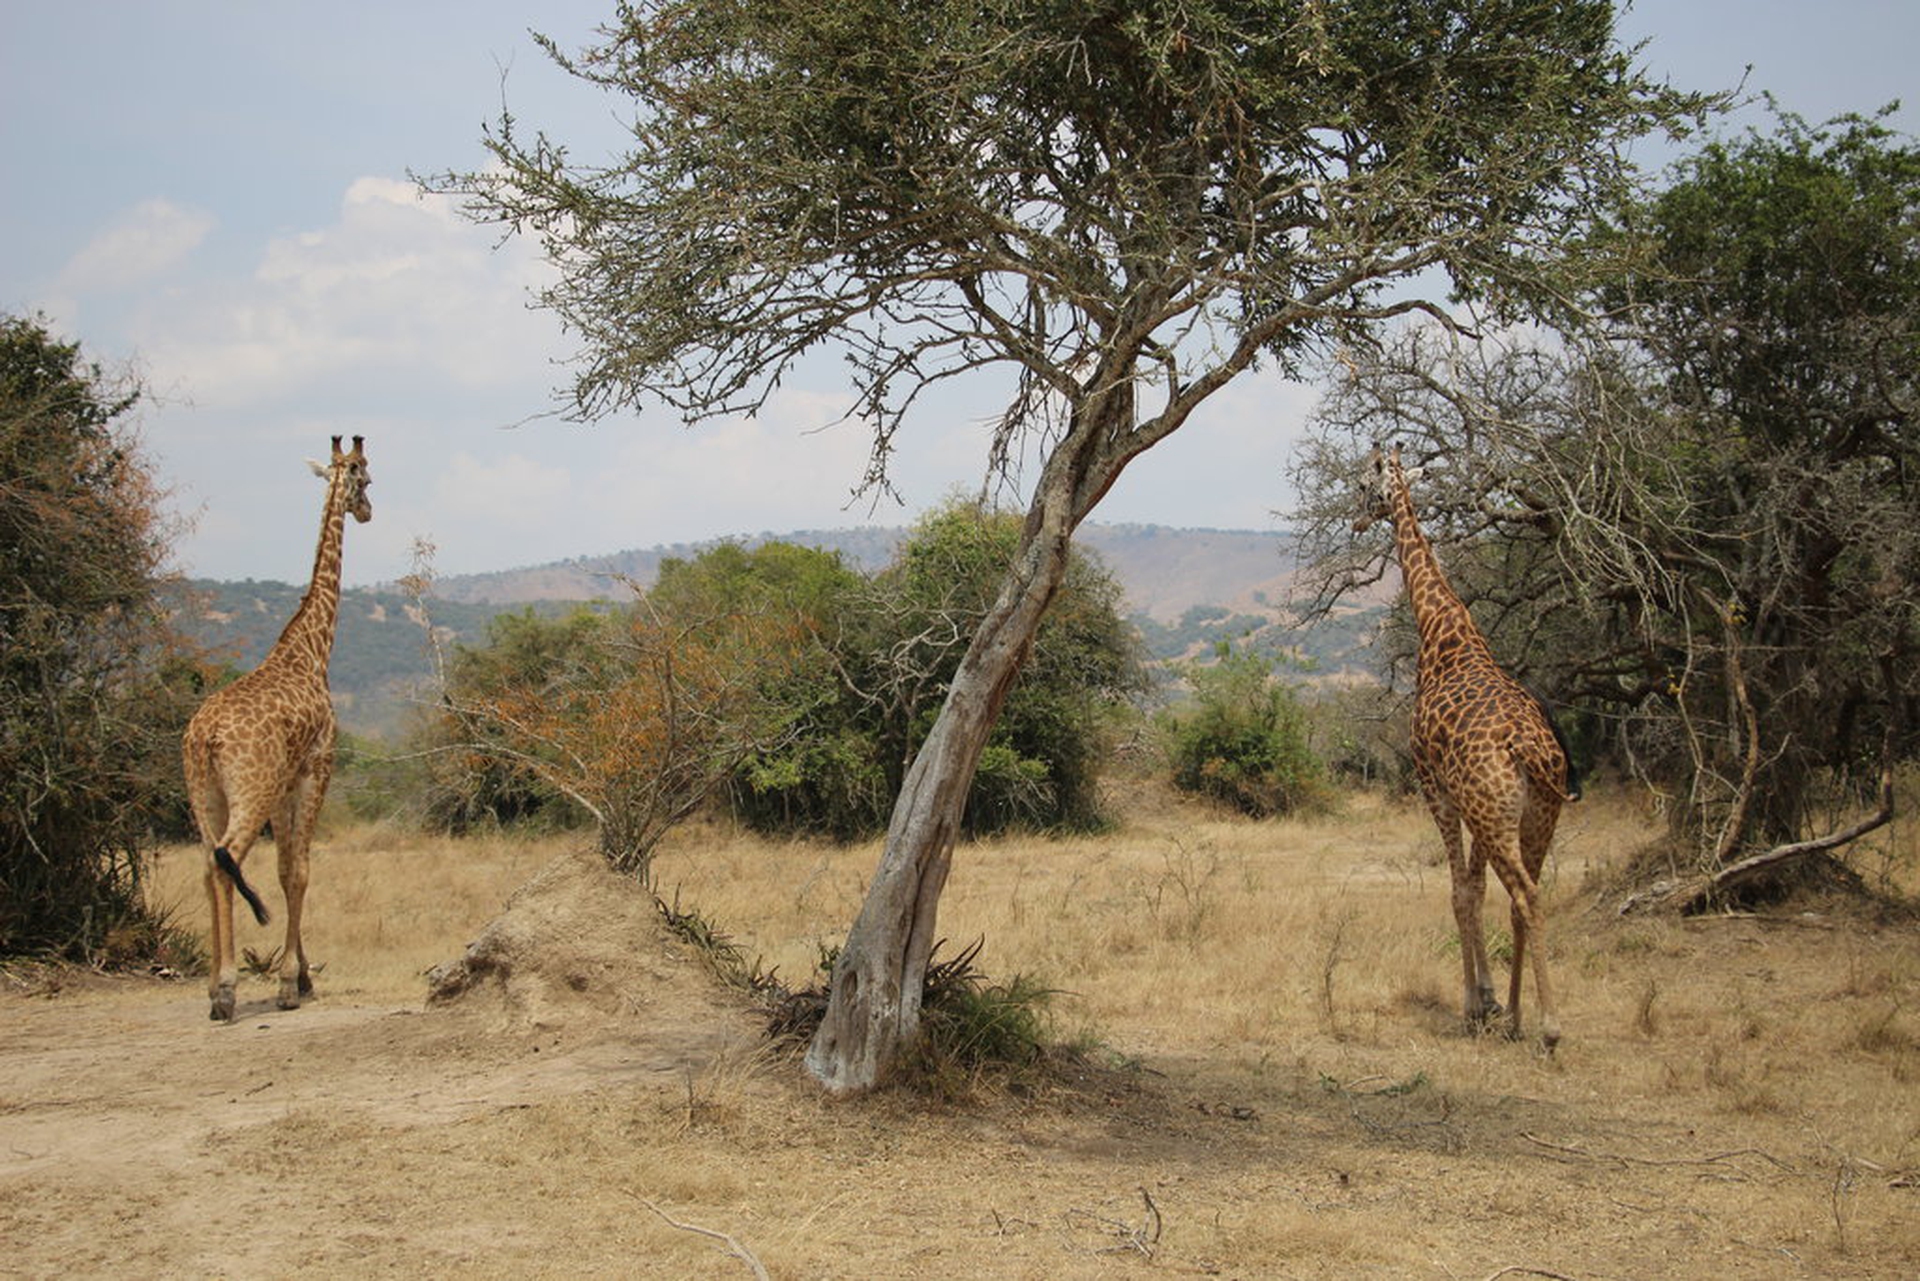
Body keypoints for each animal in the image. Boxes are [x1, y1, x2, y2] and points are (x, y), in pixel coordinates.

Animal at [182, 435, 372, 1022]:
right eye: (367, 478)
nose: (367, 511)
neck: (309, 650)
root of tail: (205, 738)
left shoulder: (288, 781)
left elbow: (287, 865)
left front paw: (303, 975)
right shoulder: (316, 768)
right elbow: (299, 870)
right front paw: (291, 983)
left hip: (203, 794)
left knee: (208, 864)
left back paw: (213, 987)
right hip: (251, 788)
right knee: (229, 859)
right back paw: (224, 991)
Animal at [1355, 444, 1579, 1049]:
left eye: (1363, 486)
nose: (1358, 519)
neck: (1443, 632)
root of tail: (1530, 750)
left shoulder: (1434, 786)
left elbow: (1458, 891)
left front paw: (1474, 1003)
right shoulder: (1470, 804)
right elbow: (1476, 889)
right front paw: (1494, 999)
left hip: (1497, 813)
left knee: (1525, 895)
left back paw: (1550, 1027)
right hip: (1534, 815)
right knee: (1527, 898)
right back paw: (1523, 1018)